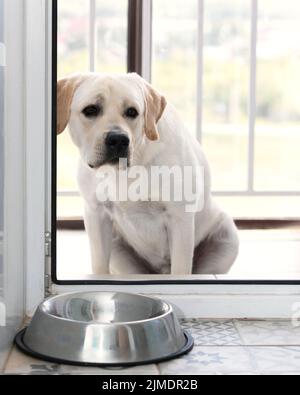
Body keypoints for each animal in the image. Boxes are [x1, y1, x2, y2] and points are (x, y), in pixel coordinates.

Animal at [56, 72, 239, 276]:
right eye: (91, 110)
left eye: (132, 112)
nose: (118, 139)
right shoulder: (96, 213)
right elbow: (99, 265)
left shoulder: (180, 217)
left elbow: (181, 268)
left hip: (227, 234)